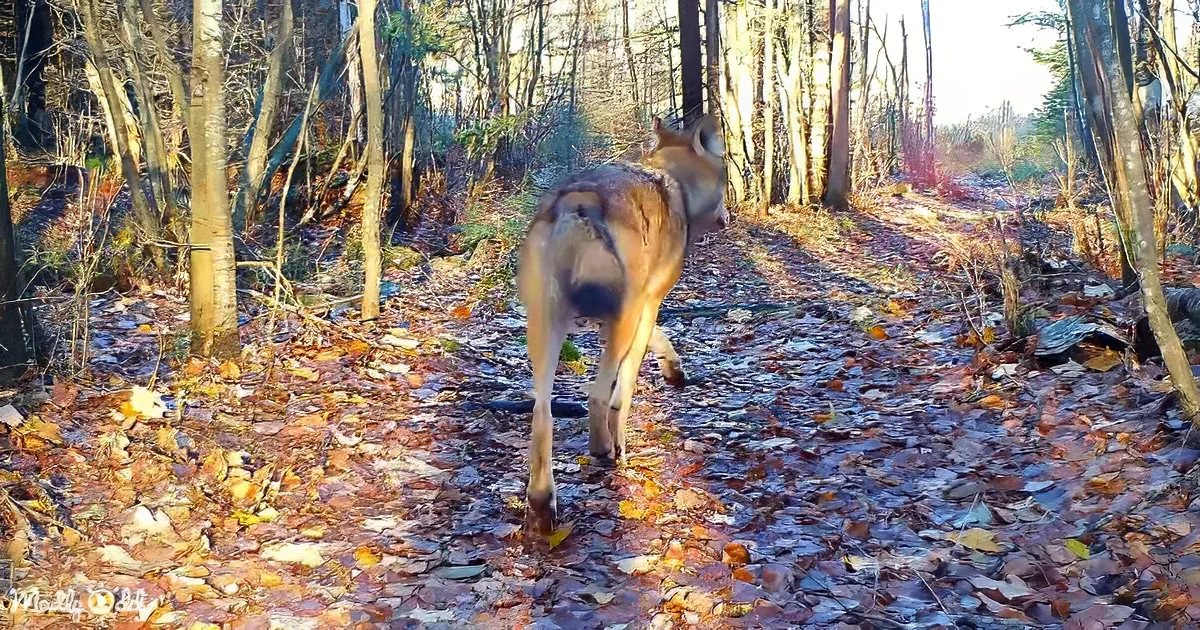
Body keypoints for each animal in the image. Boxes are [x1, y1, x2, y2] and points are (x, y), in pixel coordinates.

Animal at [516, 115, 728, 532]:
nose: (729, 216)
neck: (674, 184)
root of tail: (578, 202)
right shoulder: (647, 305)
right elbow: (625, 390)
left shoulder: (638, 310)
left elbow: (662, 341)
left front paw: (674, 369)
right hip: (621, 319)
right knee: (598, 396)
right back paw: (608, 452)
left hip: (545, 328)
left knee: (542, 413)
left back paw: (542, 504)